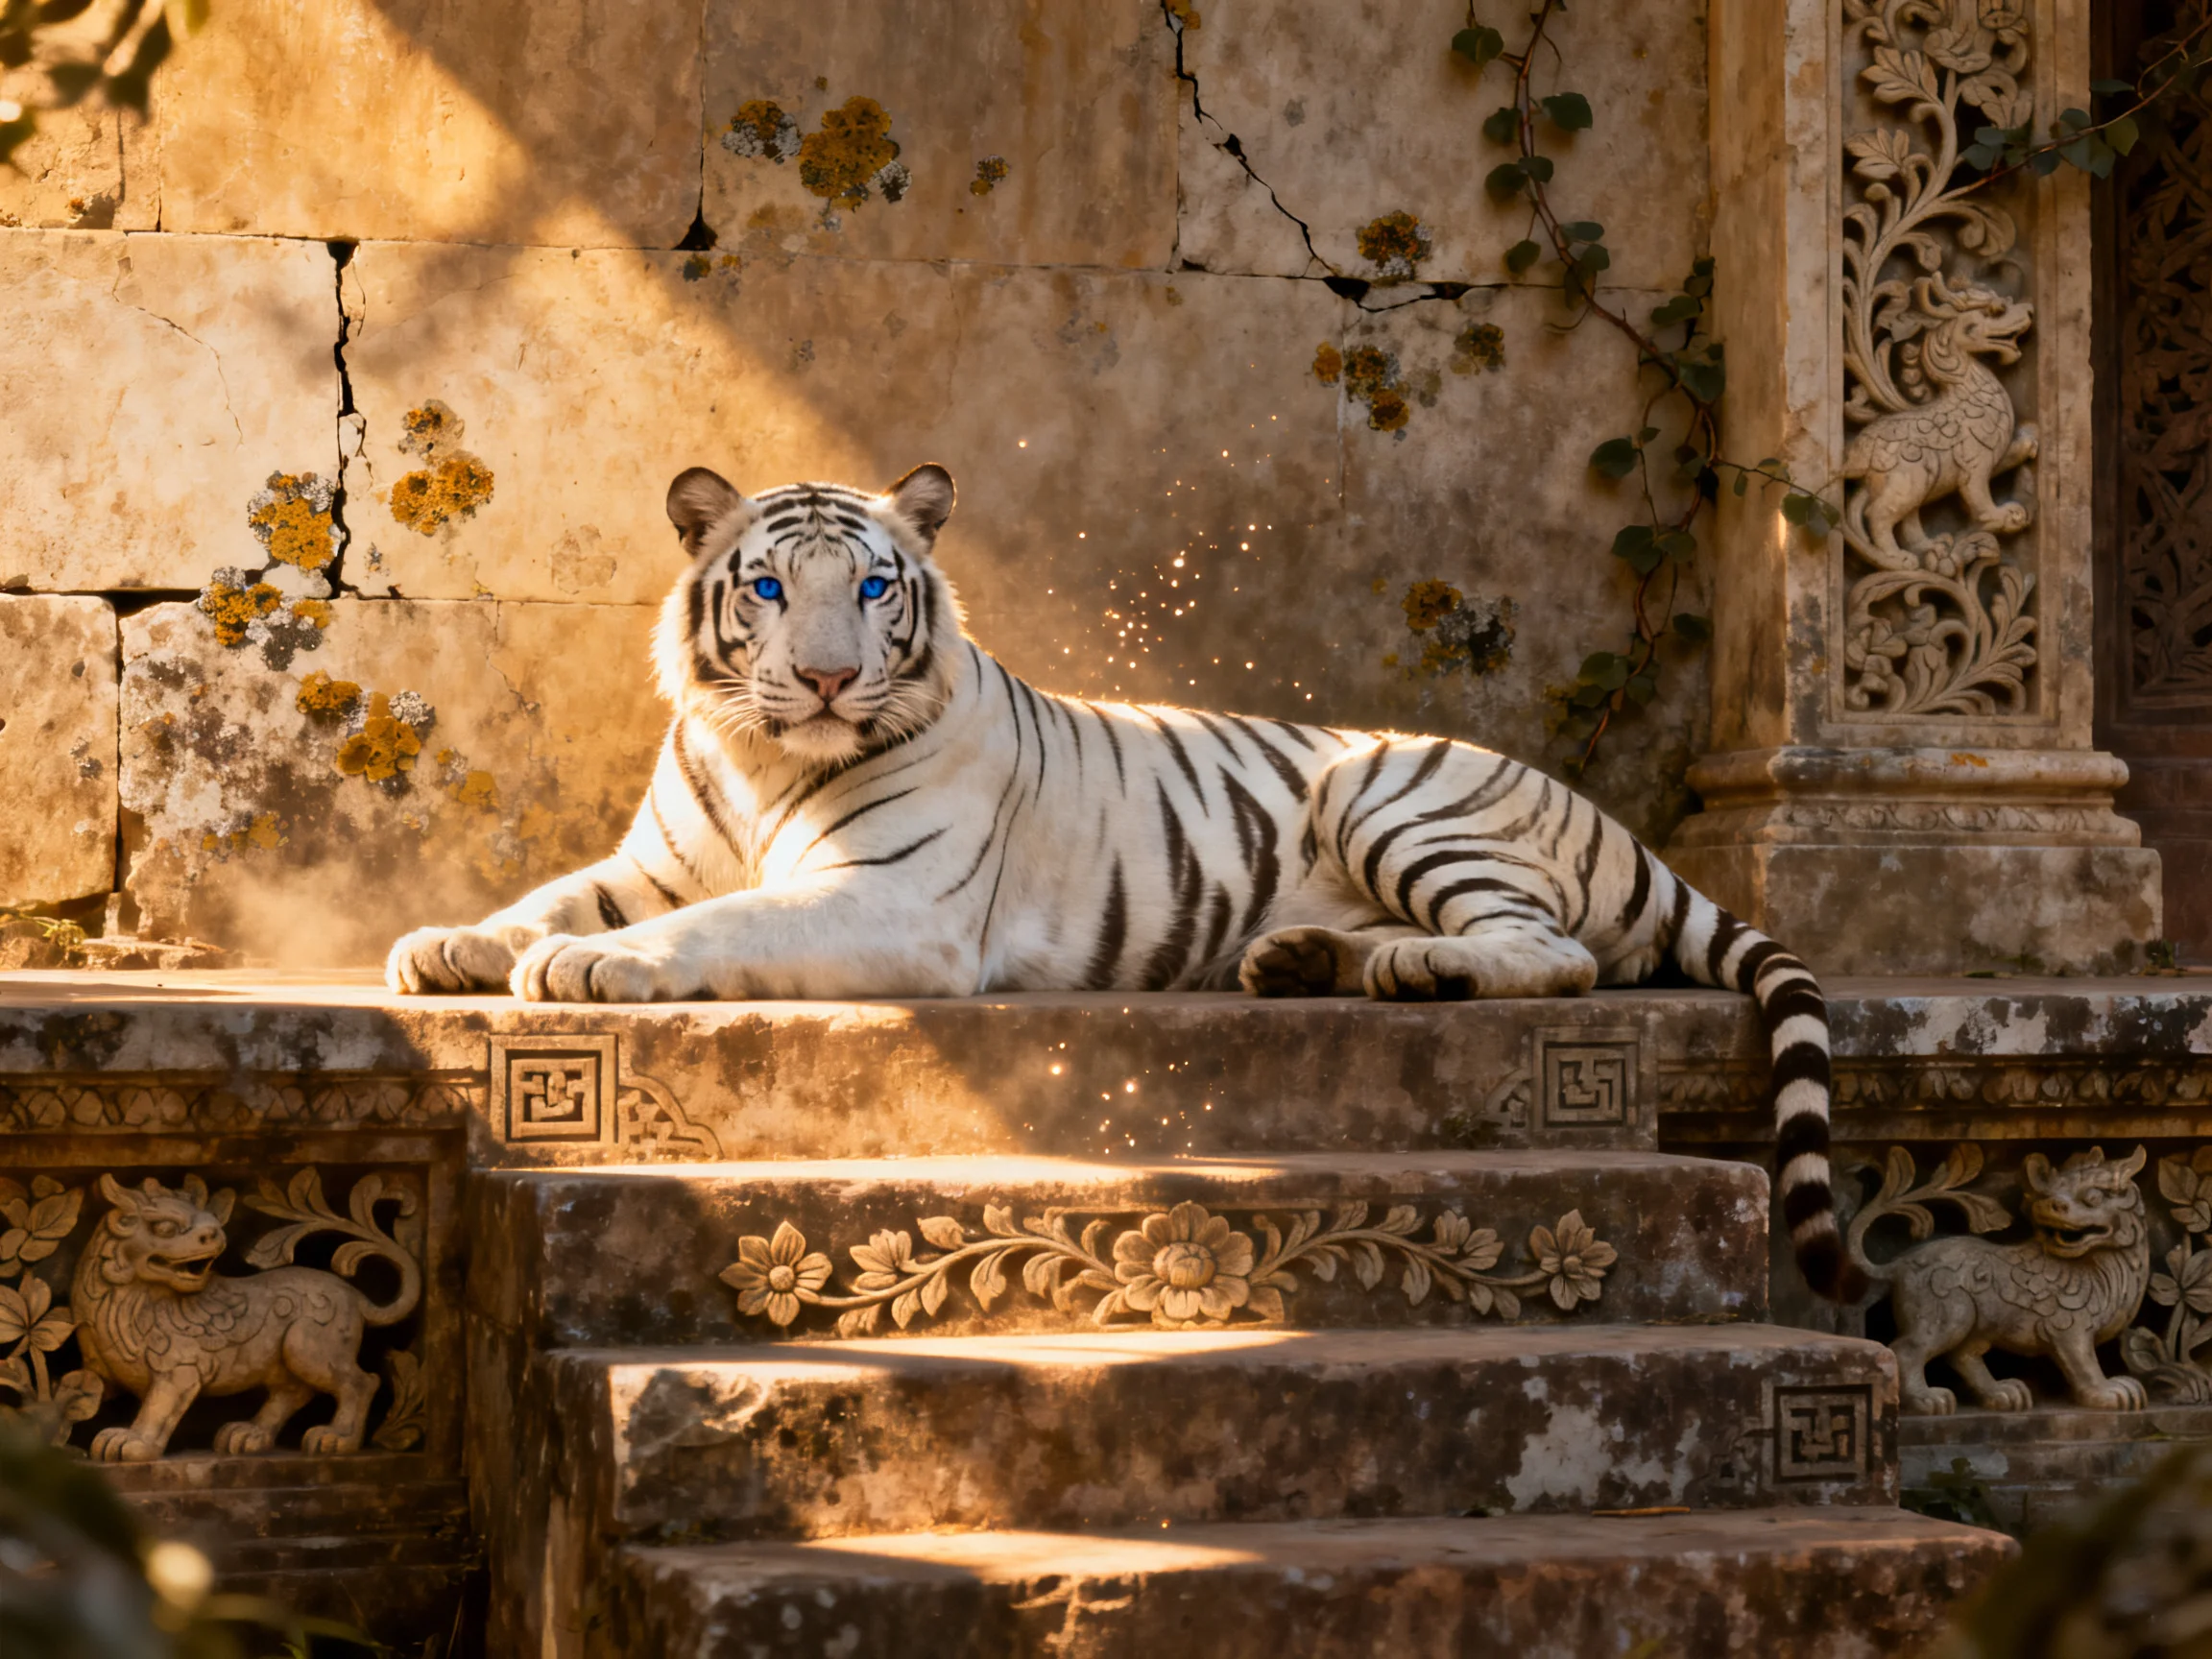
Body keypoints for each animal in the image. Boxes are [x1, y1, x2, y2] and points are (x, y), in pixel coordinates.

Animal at [385, 463, 1864, 1302]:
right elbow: (550, 897)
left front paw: (591, 969)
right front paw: (448, 944)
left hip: (1388, 791)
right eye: (763, 588)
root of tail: (1622, 829)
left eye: (872, 589)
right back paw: (1299, 962)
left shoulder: (895, 904)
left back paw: (1405, 967)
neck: (759, 757)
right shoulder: (652, 859)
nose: (825, 679)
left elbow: (718, 923)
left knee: (1554, 951)